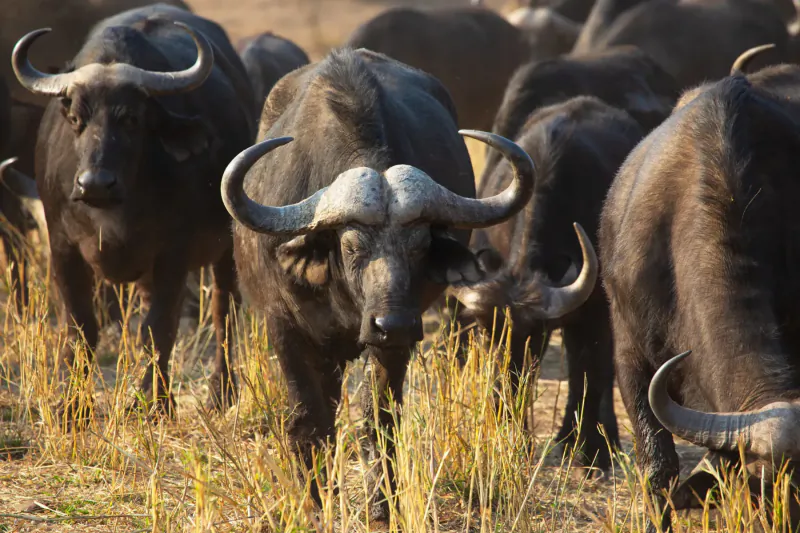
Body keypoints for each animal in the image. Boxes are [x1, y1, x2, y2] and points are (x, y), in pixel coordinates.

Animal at [17, 4, 255, 415]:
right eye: (76, 119)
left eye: (131, 119)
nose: (95, 183)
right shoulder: (62, 245)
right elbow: (80, 326)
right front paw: (71, 405)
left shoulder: (173, 252)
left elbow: (159, 327)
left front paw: (155, 402)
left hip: (227, 246)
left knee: (223, 311)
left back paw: (221, 392)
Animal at [220, 48, 534, 519]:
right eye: (351, 244)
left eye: (420, 245)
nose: (393, 323)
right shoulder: (285, 327)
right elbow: (308, 419)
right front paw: (317, 506)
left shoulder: (394, 344)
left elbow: (377, 420)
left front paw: (382, 507)